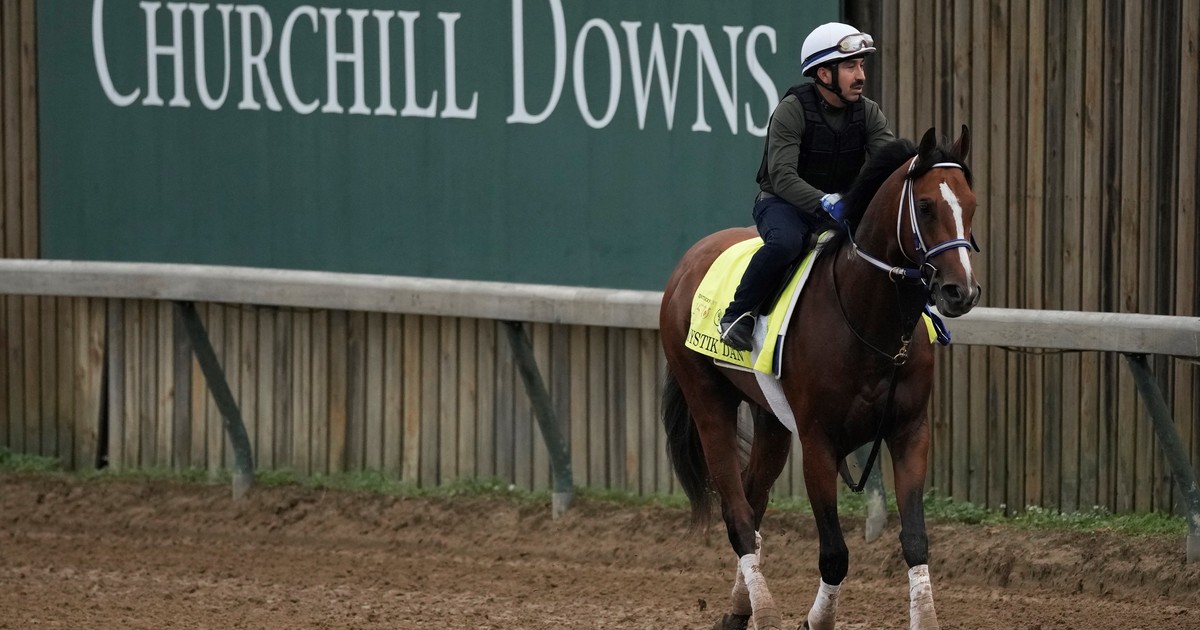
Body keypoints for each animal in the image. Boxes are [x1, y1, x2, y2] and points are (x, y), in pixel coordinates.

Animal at [659, 126, 980, 630]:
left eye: (971, 205)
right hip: (707, 400)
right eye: (926, 206)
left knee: (753, 498)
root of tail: (689, 260)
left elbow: (915, 540)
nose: (959, 291)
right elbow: (834, 553)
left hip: (770, 419)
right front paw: (816, 619)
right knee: (737, 512)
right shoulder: (818, 442)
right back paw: (765, 610)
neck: (869, 322)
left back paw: (738, 610)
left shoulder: (910, 431)